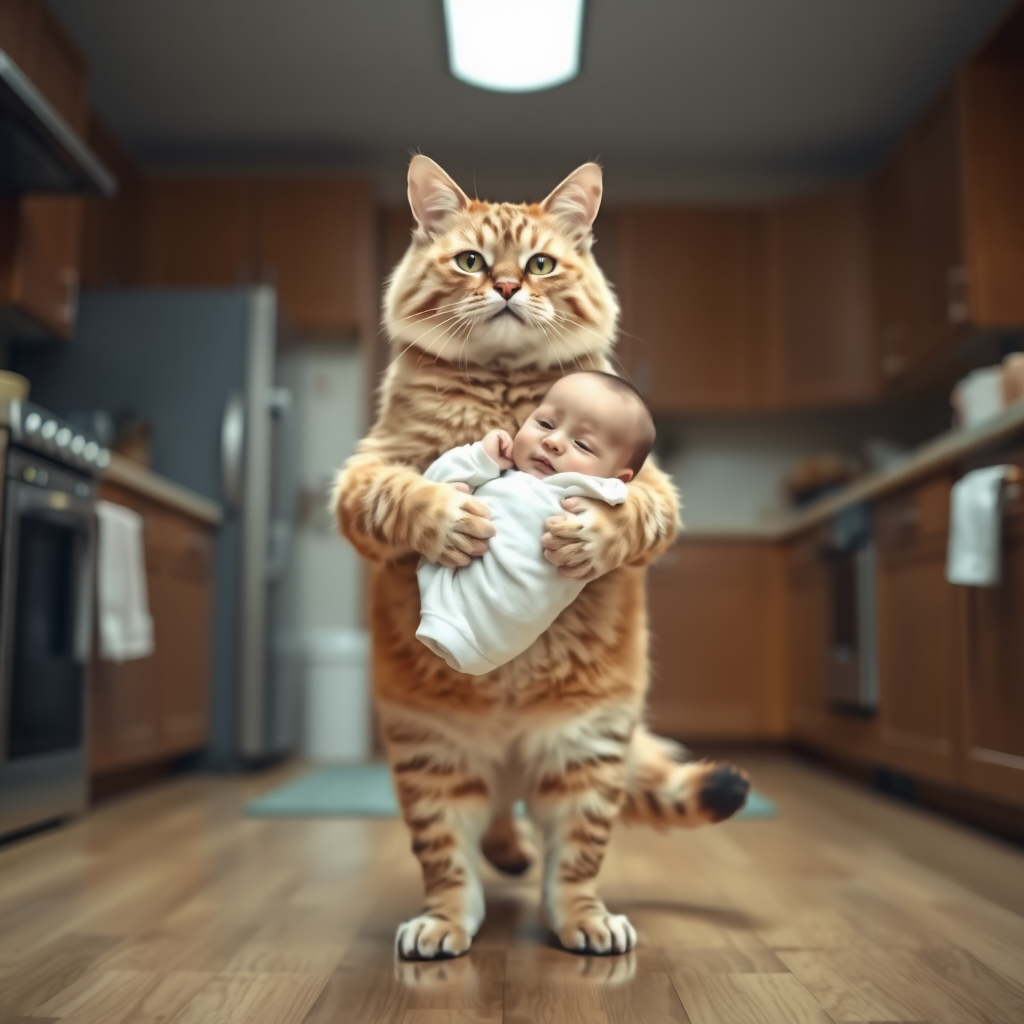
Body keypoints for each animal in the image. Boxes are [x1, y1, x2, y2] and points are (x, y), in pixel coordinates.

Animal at [335, 157, 753, 958]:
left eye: (539, 265)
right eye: (471, 261)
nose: (504, 287)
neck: (502, 391)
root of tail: (508, 756)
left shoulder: (652, 486)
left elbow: (633, 517)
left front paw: (586, 536)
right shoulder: (365, 476)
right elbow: (407, 493)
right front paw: (452, 518)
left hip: (583, 751)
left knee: (572, 866)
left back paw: (583, 919)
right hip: (437, 756)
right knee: (453, 863)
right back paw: (447, 919)